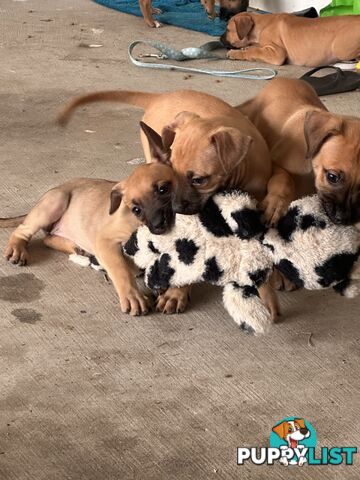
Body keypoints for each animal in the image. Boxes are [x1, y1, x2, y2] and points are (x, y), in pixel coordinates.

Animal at [1, 162, 176, 318]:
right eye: (136, 209)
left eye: (163, 190)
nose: (158, 225)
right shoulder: (104, 240)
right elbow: (120, 269)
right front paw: (132, 296)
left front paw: (173, 296)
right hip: (55, 201)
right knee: (23, 230)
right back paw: (17, 249)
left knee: (48, 239)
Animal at [58, 89, 278, 318]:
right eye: (172, 171)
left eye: (198, 179)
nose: (176, 210)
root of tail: (160, 96)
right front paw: (176, 293)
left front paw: (267, 290)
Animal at [222, 12, 360, 65]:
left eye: (228, 30)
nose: (220, 39)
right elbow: (254, 48)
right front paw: (243, 49)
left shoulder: (277, 53)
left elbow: (254, 51)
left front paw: (235, 53)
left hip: (340, 48)